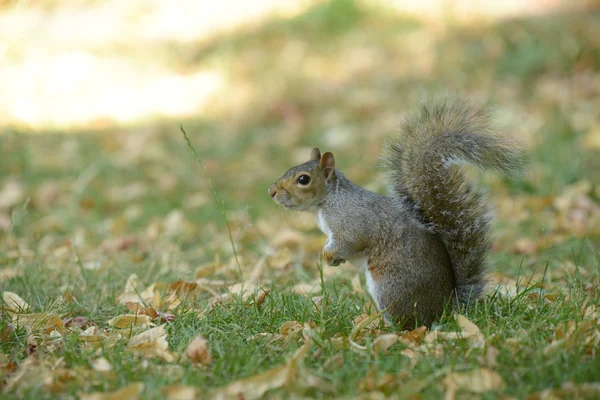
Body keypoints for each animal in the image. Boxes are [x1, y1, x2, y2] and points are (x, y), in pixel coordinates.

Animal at [270, 95, 524, 326]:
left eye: (303, 179)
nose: (271, 192)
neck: (330, 201)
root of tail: (446, 309)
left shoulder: (350, 223)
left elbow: (349, 242)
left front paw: (328, 256)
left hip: (390, 287)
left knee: (408, 323)